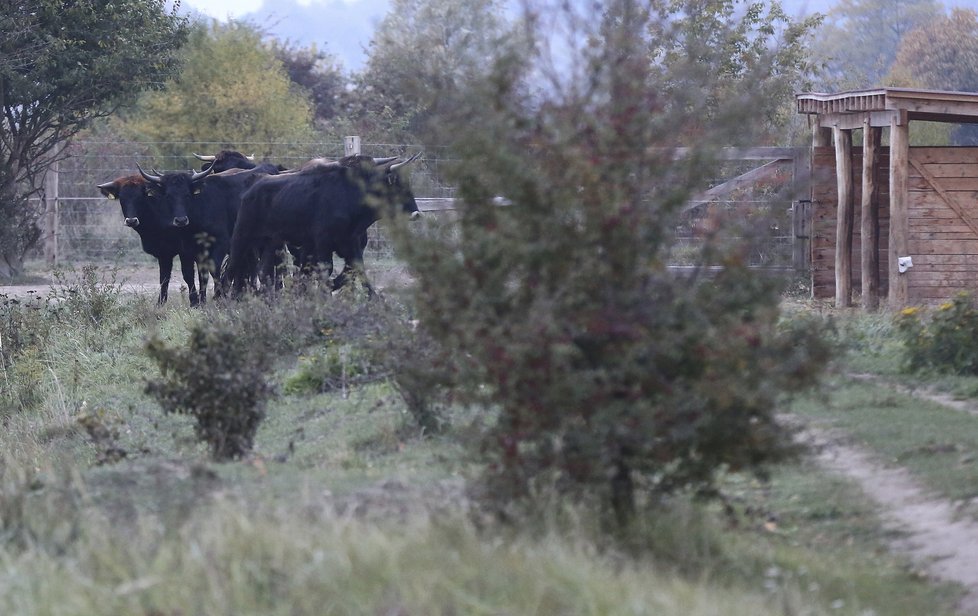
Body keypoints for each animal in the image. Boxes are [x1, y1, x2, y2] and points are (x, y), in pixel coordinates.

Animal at [95, 174, 206, 306]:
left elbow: (188, 275)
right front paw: (160, 304)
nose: (131, 221)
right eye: (122, 198)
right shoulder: (164, 253)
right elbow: (164, 278)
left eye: (140, 197)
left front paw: (194, 303)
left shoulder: (185, 251)